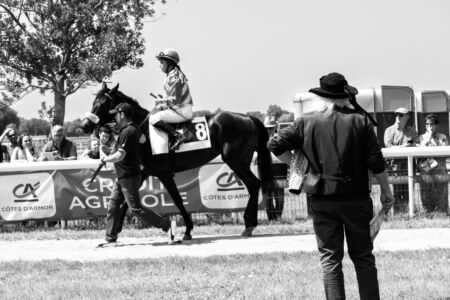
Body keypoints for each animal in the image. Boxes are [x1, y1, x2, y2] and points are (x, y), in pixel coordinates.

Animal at [81, 83, 274, 240]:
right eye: (94, 101)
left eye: (104, 103)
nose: (84, 125)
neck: (144, 132)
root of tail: (249, 118)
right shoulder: (146, 171)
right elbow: (127, 202)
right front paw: (115, 230)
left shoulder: (164, 173)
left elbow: (178, 200)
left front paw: (187, 230)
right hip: (239, 161)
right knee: (254, 185)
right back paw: (249, 225)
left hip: (236, 160)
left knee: (254, 184)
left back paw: (249, 225)